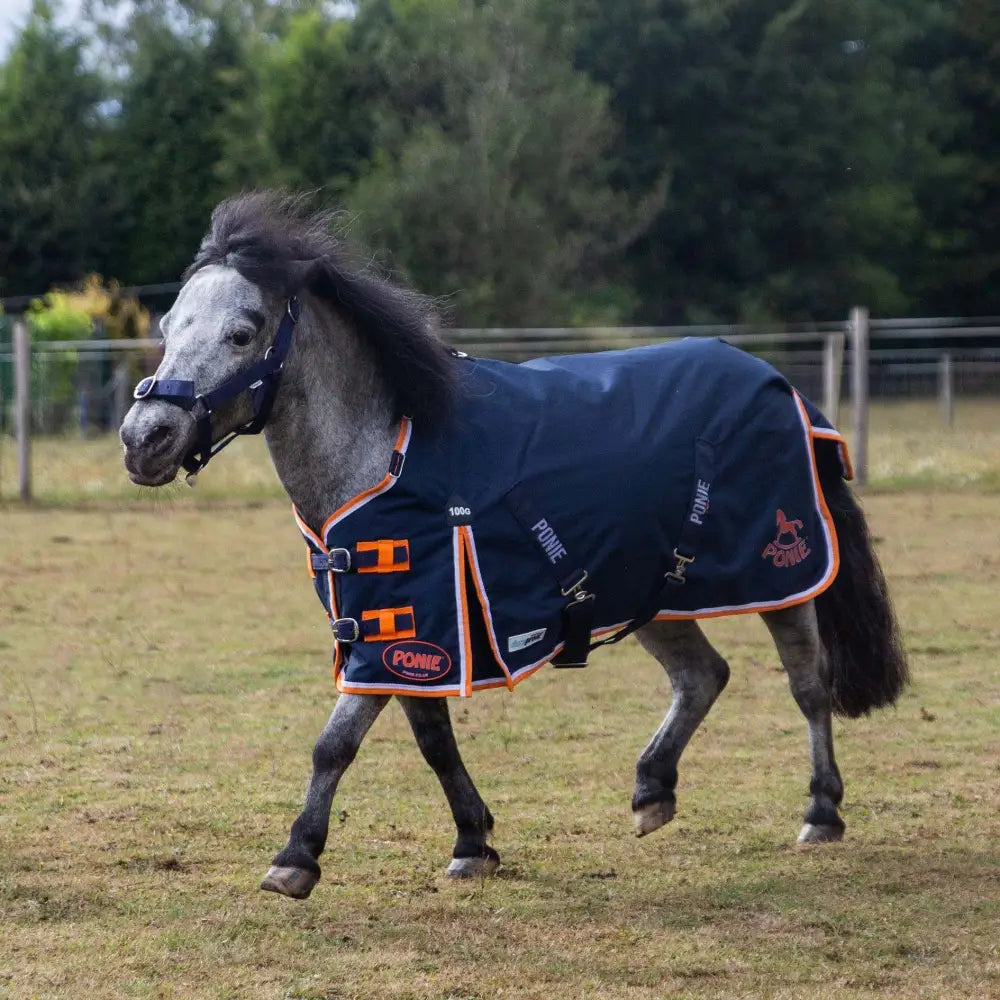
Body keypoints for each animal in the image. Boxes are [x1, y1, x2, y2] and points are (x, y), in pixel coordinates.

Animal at [120, 192, 908, 900]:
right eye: (168, 322)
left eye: (244, 331)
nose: (143, 438)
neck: (385, 454)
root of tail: (780, 385)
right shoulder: (404, 626)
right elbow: (433, 741)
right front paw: (473, 842)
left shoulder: (408, 628)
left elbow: (334, 742)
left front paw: (295, 859)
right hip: (652, 591)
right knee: (703, 676)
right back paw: (652, 791)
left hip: (783, 576)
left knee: (808, 685)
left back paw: (821, 811)